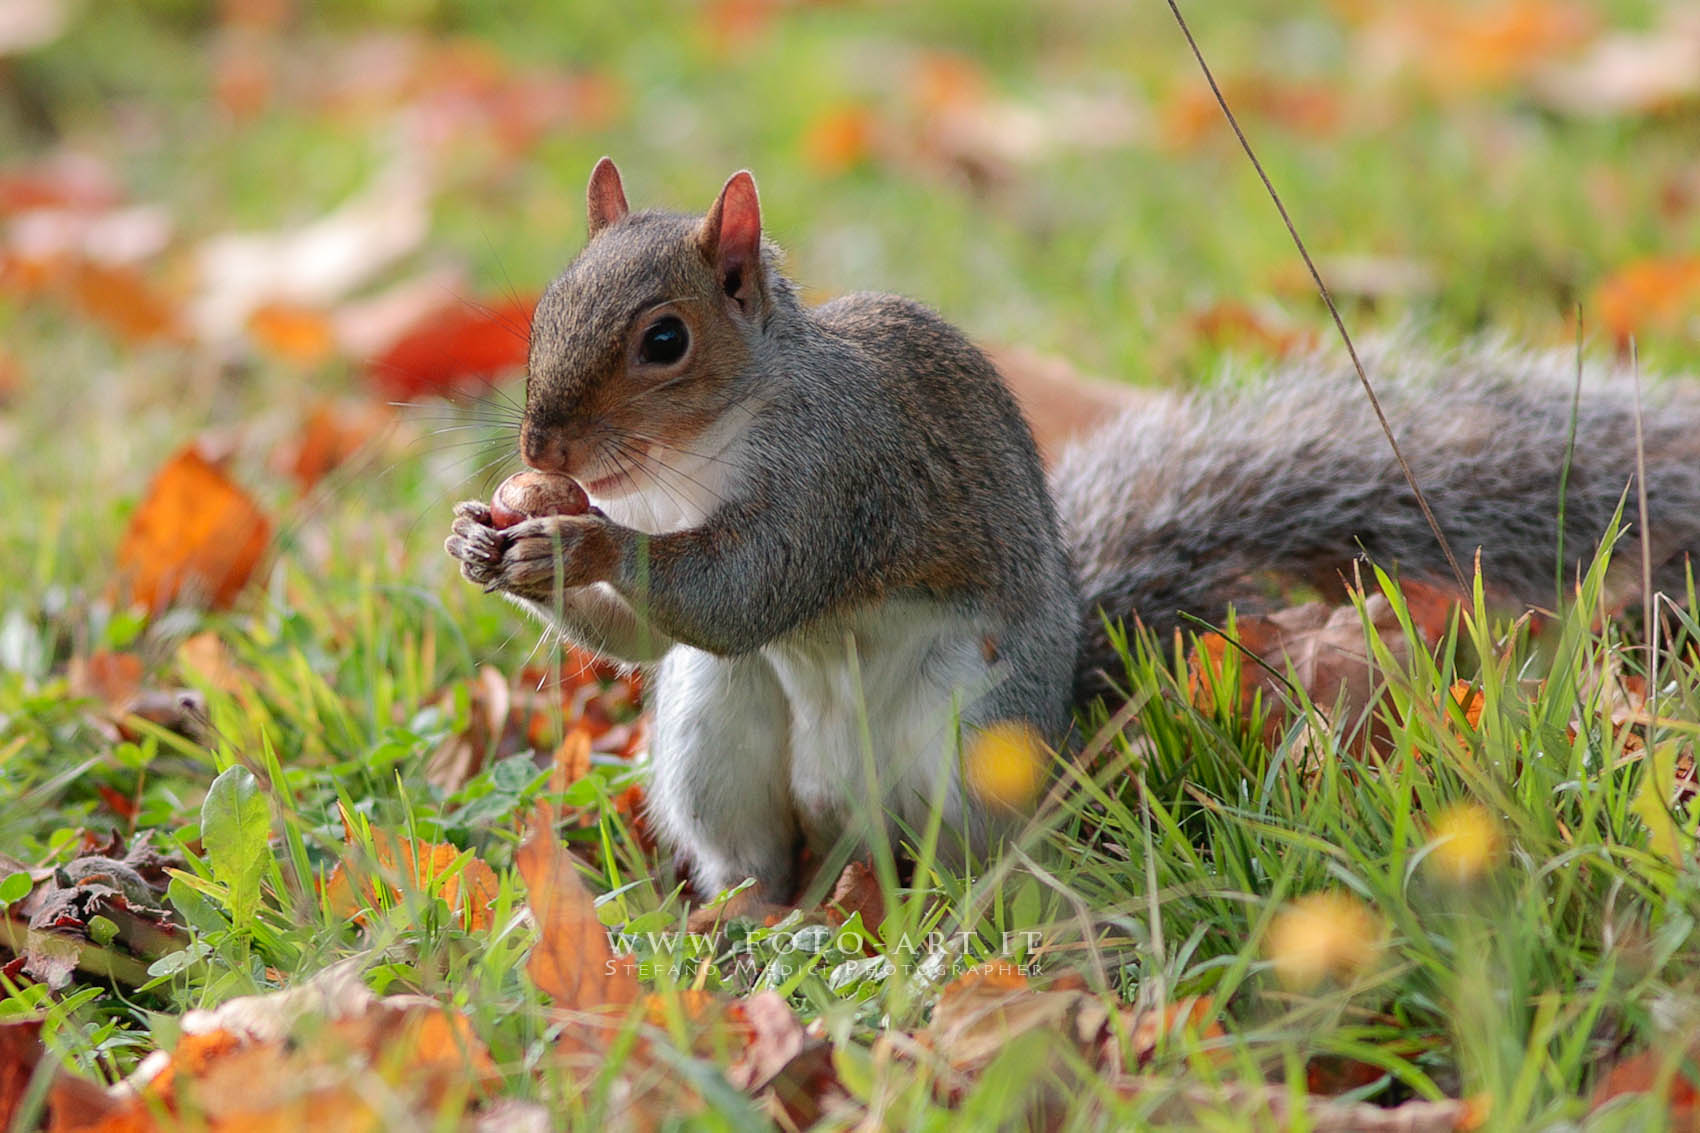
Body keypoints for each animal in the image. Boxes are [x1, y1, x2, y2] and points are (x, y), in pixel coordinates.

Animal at [446, 158, 1700, 902]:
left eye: (663, 340)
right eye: (547, 303)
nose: (546, 445)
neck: (689, 462)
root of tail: (847, 820)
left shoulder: (840, 477)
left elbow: (743, 589)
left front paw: (581, 543)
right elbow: (649, 638)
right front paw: (494, 538)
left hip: (971, 737)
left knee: (966, 857)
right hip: (716, 734)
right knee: (749, 844)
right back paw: (747, 923)